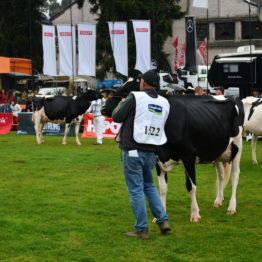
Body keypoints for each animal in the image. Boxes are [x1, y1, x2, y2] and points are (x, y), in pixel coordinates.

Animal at [102, 79, 244, 221]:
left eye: (126, 91)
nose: (103, 109)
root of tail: (232, 97)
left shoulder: (188, 156)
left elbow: (191, 186)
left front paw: (195, 214)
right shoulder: (158, 159)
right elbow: (163, 188)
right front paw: (160, 215)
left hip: (237, 146)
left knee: (235, 176)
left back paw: (231, 207)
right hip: (218, 151)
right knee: (221, 175)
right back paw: (218, 201)